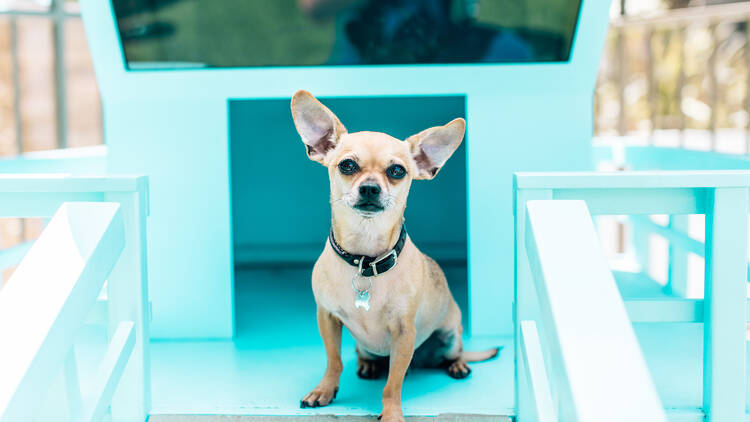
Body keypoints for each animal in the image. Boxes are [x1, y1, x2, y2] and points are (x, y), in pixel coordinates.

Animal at [292, 90, 500, 420]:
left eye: (397, 171)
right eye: (347, 165)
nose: (369, 188)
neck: (365, 260)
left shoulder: (404, 334)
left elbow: (392, 385)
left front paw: (391, 414)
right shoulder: (327, 318)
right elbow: (334, 360)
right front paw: (324, 389)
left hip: (450, 333)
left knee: (453, 353)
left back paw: (458, 365)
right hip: (365, 345)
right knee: (361, 355)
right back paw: (367, 365)